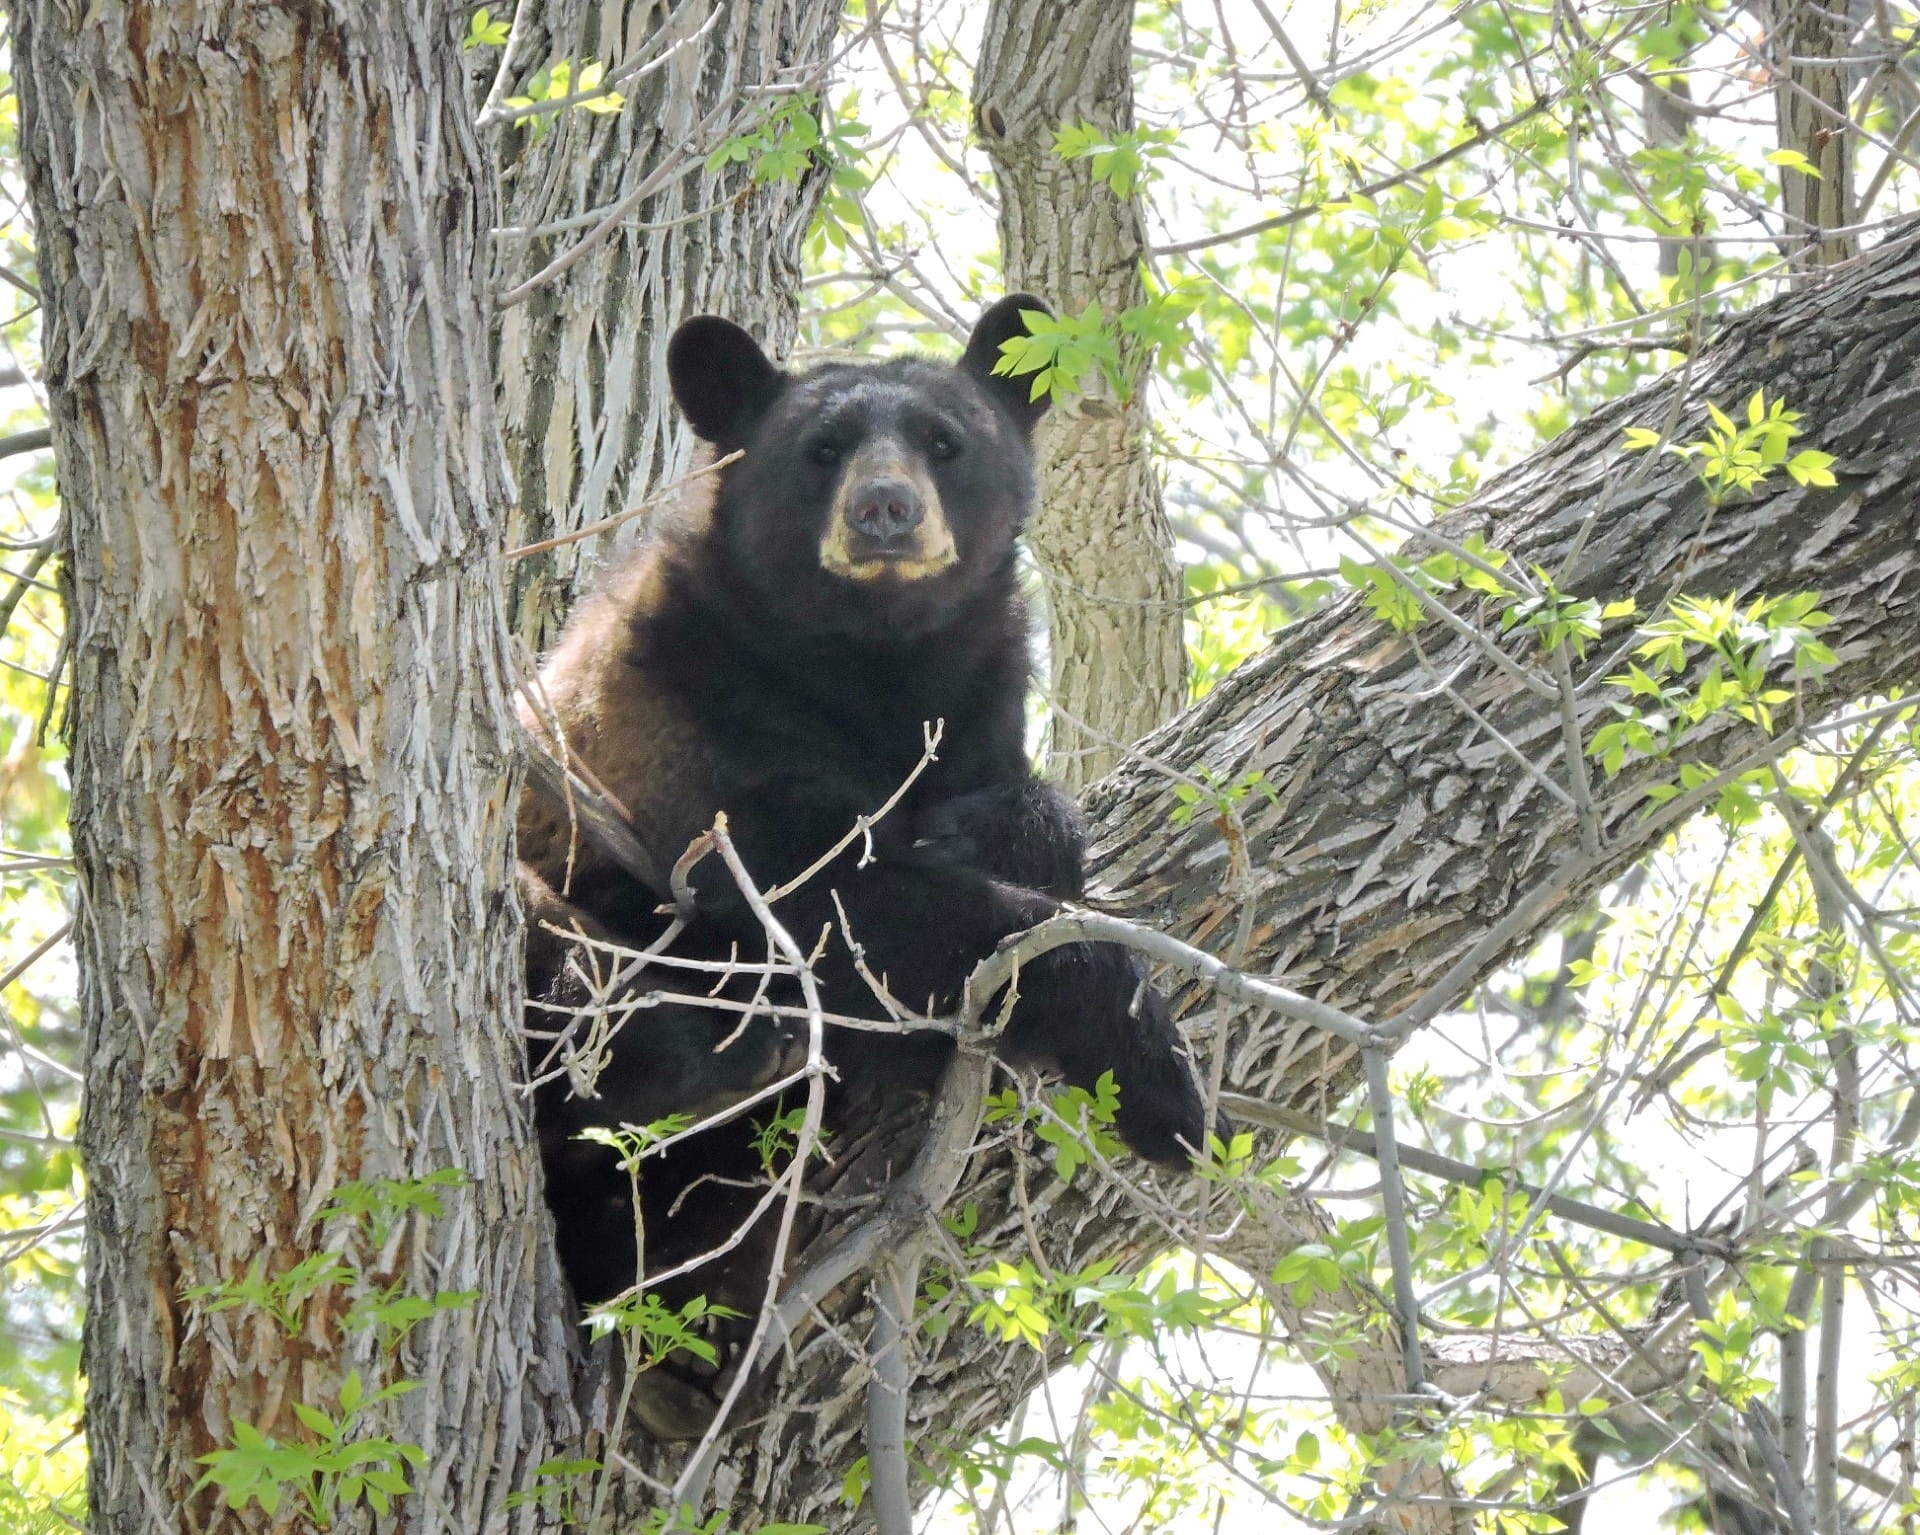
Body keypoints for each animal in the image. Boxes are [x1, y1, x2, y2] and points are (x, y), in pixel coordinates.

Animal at [517, 295, 1214, 1363]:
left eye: (945, 441)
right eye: (823, 448)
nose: (885, 507)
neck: (871, 662)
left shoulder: (981, 698)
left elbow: (1017, 813)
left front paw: (993, 829)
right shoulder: (693, 730)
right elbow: (838, 907)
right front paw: (1159, 1078)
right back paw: (703, 1053)